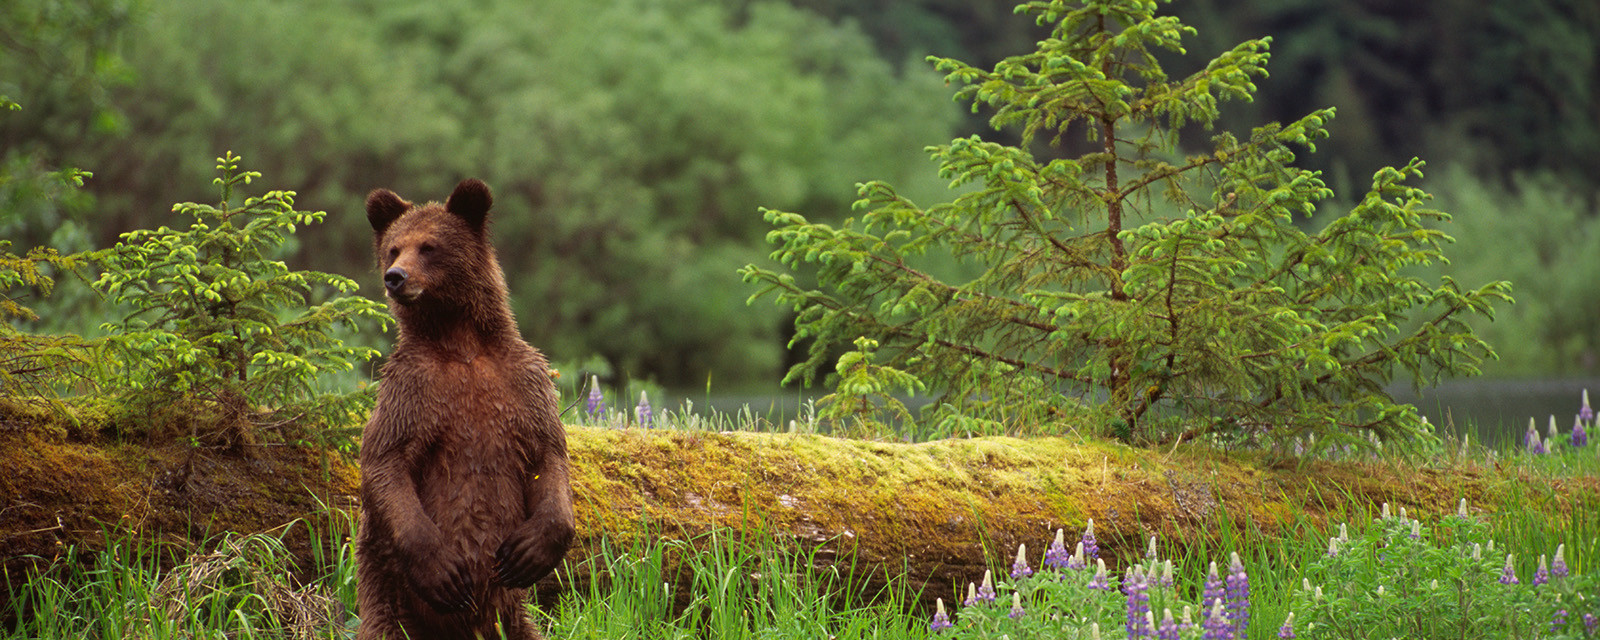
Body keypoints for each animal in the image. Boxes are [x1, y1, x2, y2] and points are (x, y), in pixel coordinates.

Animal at [356, 178, 576, 640]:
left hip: (513, 616)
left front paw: (529, 551)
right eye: (393, 248)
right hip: (387, 587)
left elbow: (550, 454)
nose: (395, 277)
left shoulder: (524, 382)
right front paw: (444, 570)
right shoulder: (412, 389)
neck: (462, 343)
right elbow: (385, 459)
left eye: (429, 246)